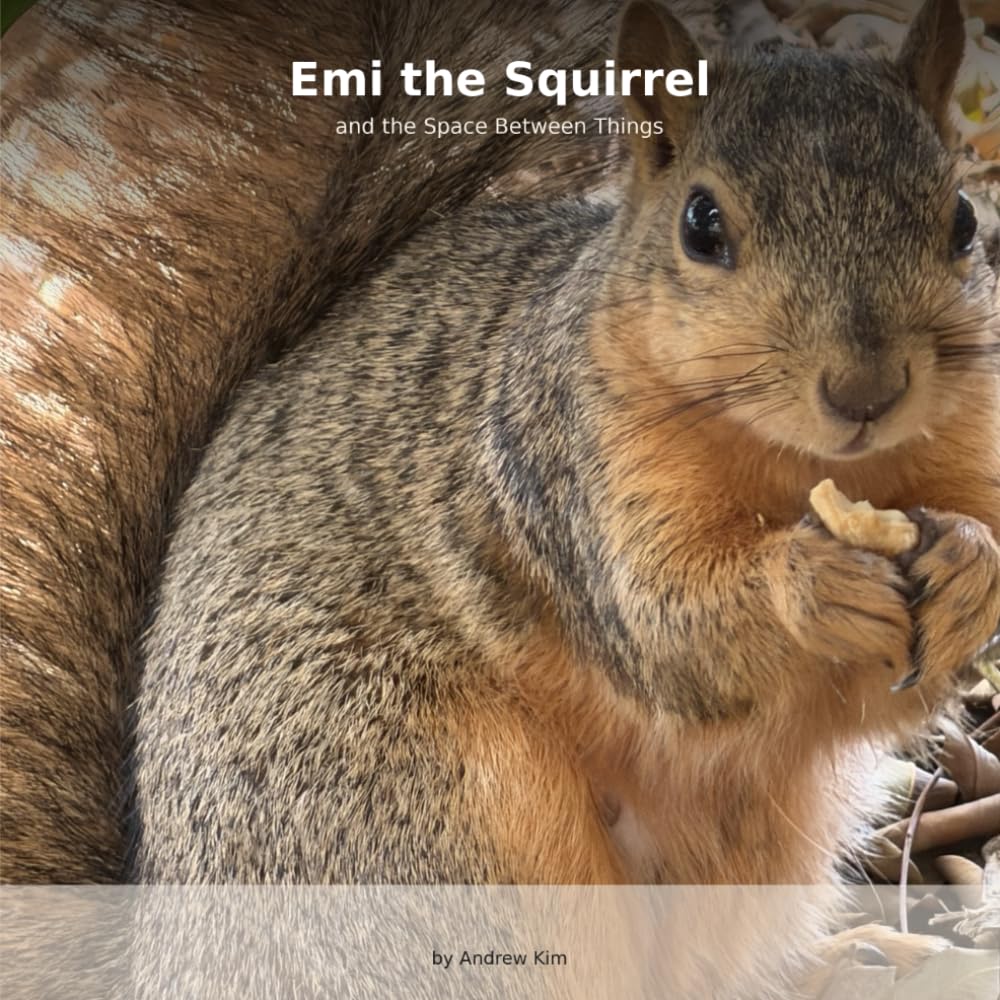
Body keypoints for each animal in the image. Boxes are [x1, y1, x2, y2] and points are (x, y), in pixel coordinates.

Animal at [126, 0, 1000, 993]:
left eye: (962, 219)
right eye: (702, 225)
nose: (865, 391)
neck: (801, 467)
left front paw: (968, 567)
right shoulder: (563, 468)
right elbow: (666, 626)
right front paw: (811, 583)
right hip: (413, 825)